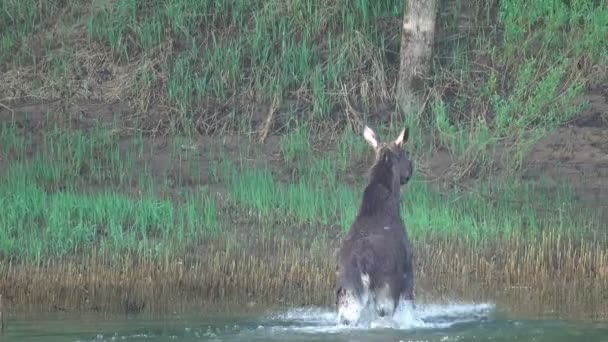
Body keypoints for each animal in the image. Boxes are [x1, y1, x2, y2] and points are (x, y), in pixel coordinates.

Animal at [334, 124, 416, 324]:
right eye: (406, 152)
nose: (411, 168)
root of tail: (362, 264)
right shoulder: (409, 273)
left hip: (347, 297)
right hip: (385, 293)